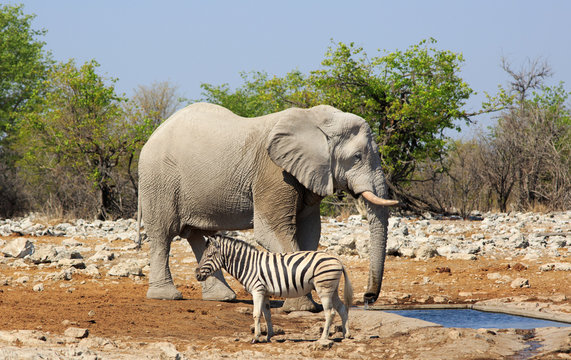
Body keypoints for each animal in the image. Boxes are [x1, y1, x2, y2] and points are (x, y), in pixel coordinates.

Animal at [137, 101, 398, 310]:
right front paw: (303, 309)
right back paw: (166, 296)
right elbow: (272, 230)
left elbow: (310, 231)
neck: (317, 120)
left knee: (198, 235)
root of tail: (151, 136)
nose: (368, 298)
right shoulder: (273, 172)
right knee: (163, 235)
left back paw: (223, 297)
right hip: (159, 181)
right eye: (357, 157)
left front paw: (310, 305)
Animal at [194, 235, 350, 342]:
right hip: (332, 289)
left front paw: (256, 337)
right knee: (342, 309)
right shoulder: (265, 292)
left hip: (324, 288)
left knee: (330, 313)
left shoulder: (257, 290)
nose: (196, 275)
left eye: (209, 255)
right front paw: (269, 336)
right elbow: (267, 314)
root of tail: (338, 260)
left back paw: (323, 338)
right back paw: (346, 335)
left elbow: (256, 314)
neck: (248, 265)